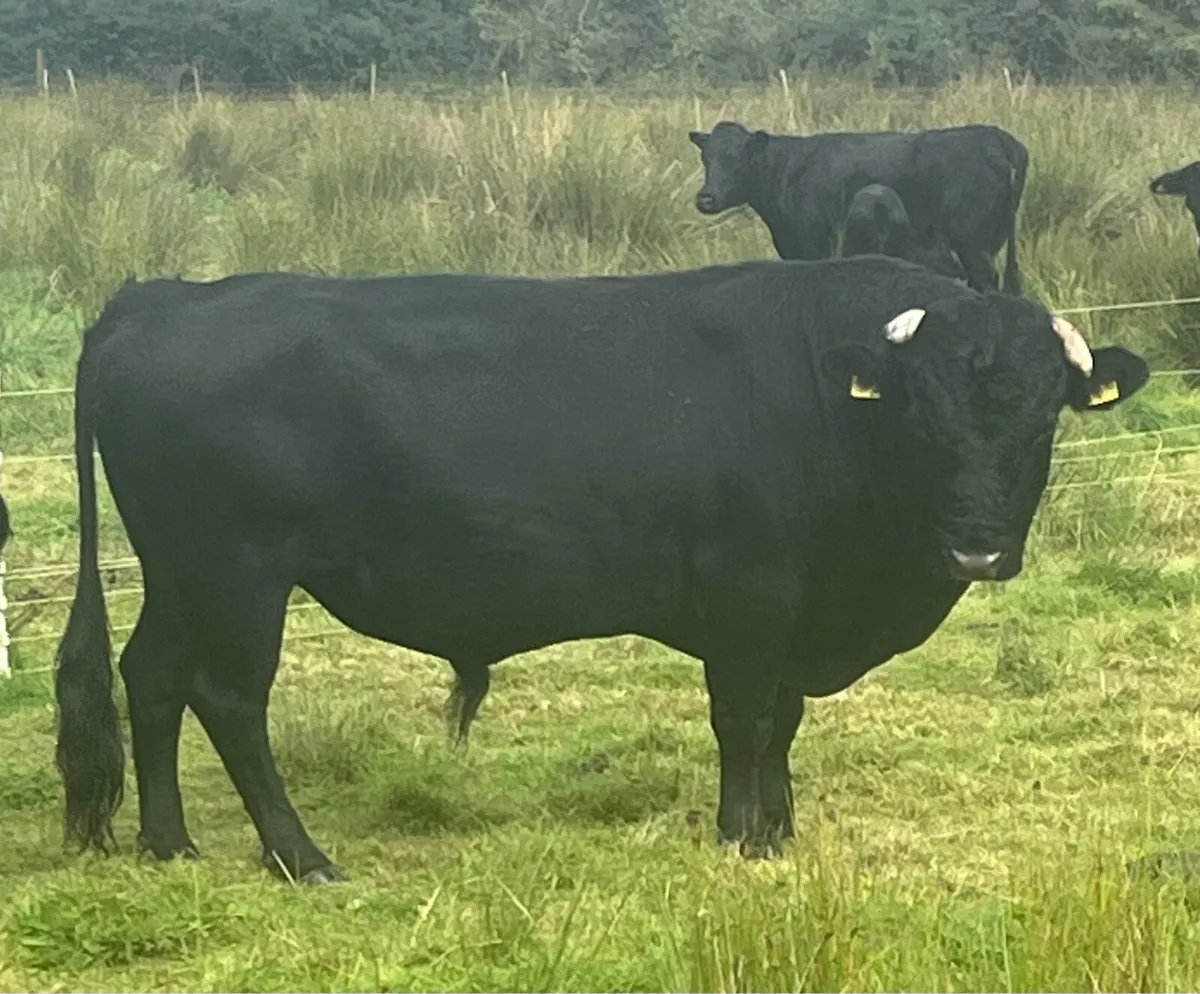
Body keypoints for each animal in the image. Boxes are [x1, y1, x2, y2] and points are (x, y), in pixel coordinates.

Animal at [53, 259, 1148, 884]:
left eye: (1042, 414)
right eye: (922, 411)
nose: (977, 546)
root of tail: (159, 298)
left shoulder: (793, 613)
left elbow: (784, 722)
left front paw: (781, 830)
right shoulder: (750, 595)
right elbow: (746, 720)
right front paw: (741, 836)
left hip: (182, 571)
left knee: (152, 678)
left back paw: (168, 843)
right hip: (238, 573)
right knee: (229, 699)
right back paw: (301, 856)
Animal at [688, 120, 1028, 295]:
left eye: (738, 158)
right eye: (706, 157)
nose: (706, 198)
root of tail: (996, 136)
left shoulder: (816, 247)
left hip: (974, 249)